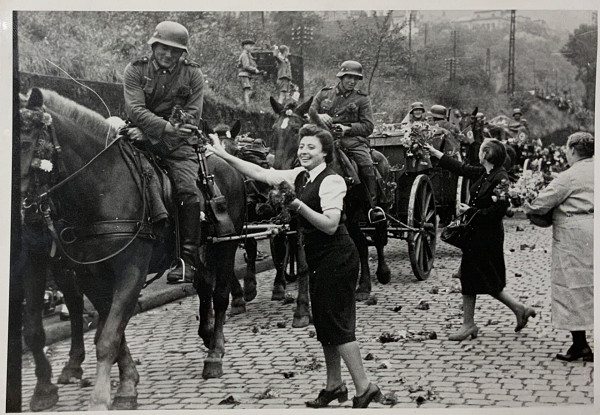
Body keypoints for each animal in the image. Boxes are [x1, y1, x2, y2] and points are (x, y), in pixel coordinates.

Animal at [17, 89, 246, 412]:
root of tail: (229, 167)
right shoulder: (87, 273)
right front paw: (127, 382)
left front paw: (103, 397)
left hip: (225, 247)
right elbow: (110, 330)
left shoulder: (131, 270)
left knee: (221, 295)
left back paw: (215, 354)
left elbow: (109, 336)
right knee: (204, 285)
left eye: (25, 143)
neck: (103, 187)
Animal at [270, 96, 392, 302]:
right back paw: (363, 285)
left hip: (376, 209)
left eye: (296, 130)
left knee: (379, 238)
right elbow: (298, 254)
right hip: (352, 218)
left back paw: (381, 273)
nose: (279, 171)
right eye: (274, 129)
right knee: (362, 243)